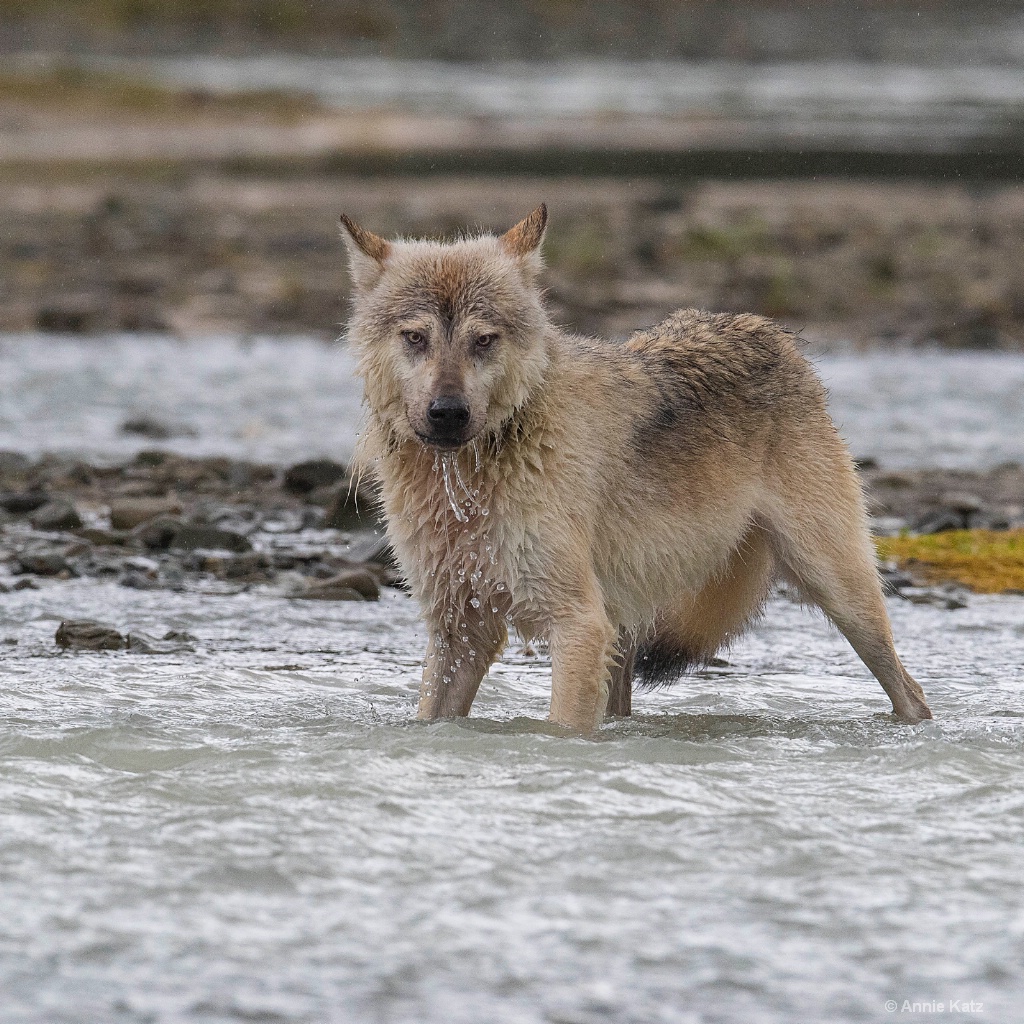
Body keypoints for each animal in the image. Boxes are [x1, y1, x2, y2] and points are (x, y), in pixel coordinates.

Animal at [339, 203, 933, 733]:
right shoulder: (460, 631)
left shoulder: (578, 623)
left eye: (483, 339)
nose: (448, 413)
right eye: (415, 337)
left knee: (912, 691)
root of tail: (768, 331)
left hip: (840, 592)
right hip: (624, 629)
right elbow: (431, 718)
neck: (471, 477)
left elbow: (560, 731)